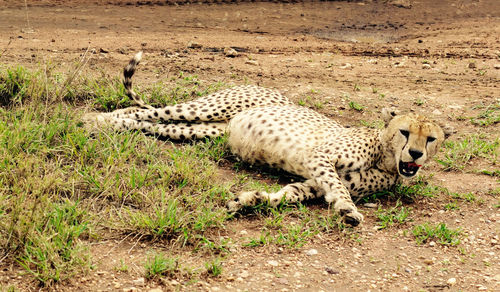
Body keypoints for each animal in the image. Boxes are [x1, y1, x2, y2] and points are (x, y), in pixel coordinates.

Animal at [84, 52, 448, 226]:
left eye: (431, 139)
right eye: (404, 132)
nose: (415, 154)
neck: (386, 159)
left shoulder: (314, 183)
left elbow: (291, 193)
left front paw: (249, 200)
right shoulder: (320, 158)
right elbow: (339, 187)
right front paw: (348, 208)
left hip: (201, 129)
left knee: (148, 121)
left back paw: (108, 125)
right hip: (205, 108)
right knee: (144, 110)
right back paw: (93, 120)